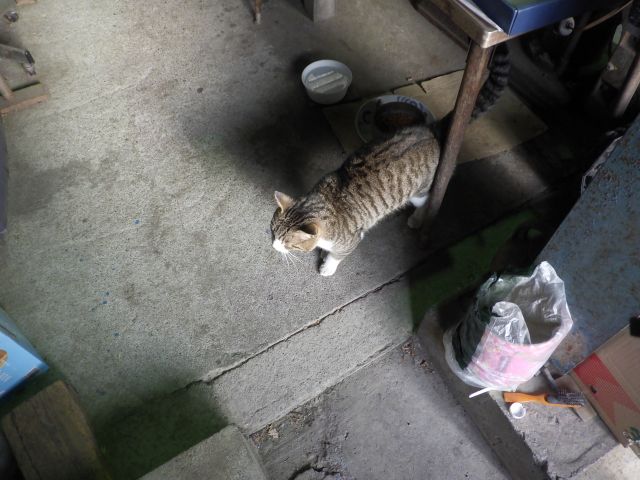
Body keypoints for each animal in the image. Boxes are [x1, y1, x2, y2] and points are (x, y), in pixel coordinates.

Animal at [271, 45, 510, 276]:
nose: (273, 246)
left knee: (427, 201)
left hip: (419, 191)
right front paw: (322, 253)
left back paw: (416, 219)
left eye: (288, 243)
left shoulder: (350, 240)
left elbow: (337, 255)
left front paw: (328, 266)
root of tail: (431, 129)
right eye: (273, 230)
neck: (325, 203)